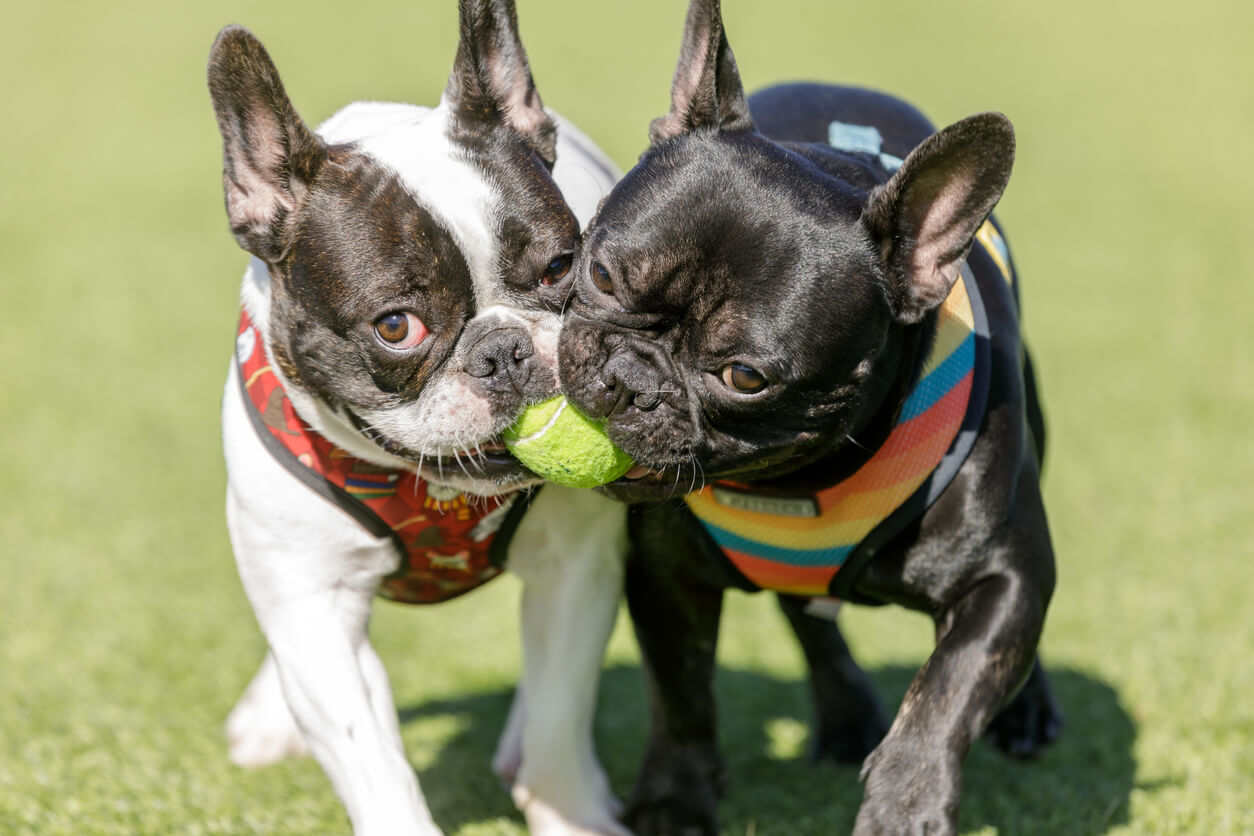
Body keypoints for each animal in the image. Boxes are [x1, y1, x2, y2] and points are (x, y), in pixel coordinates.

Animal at [211, 3, 637, 832]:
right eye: (396, 326)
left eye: (562, 268)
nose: (505, 351)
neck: (427, 491)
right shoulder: (315, 607)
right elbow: (370, 756)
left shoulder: (577, 568)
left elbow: (561, 712)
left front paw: (569, 811)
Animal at [559, 1, 1058, 836]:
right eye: (598, 273)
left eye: (745, 377)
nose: (628, 378)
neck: (801, 478)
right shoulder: (666, 577)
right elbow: (683, 695)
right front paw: (673, 802)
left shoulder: (1004, 577)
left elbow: (947, 694)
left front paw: (906, 804)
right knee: (810, 618)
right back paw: (847, 712)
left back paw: (1027, 716)